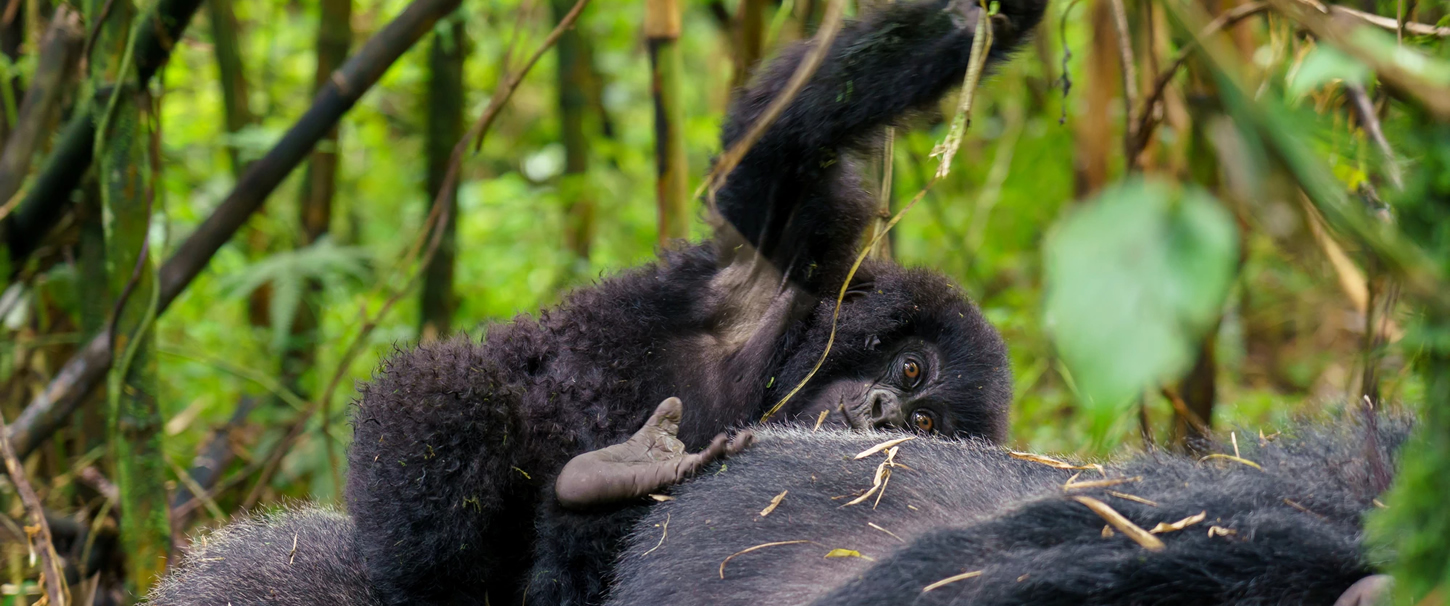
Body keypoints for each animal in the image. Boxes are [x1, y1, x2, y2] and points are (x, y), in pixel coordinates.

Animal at [339, 0, 1044, 603]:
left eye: (922, 426)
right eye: (911, 368)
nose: (880, 414)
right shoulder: (798, 257)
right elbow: (782, 136)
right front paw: (979, 22)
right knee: (444, 390)